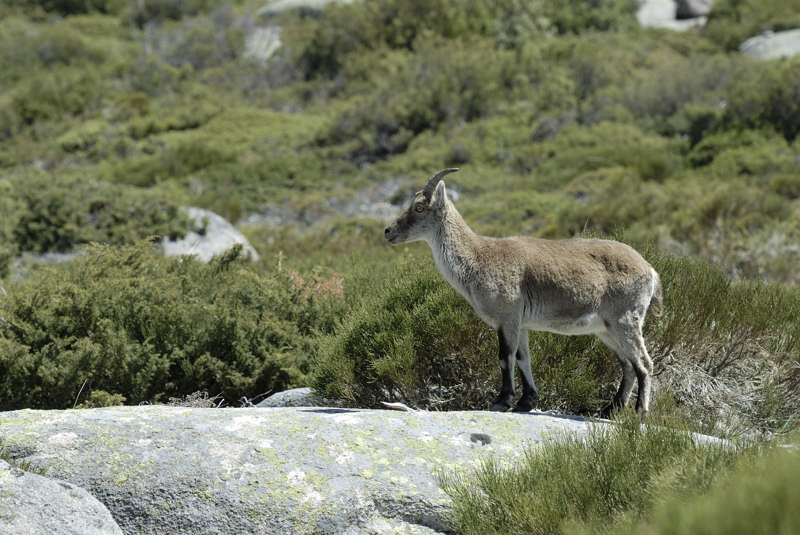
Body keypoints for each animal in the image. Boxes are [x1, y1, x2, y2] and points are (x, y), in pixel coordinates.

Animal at [382, 170, 664, 416]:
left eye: (419, 208)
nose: (388, 231)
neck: (477, 258)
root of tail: (650, 269)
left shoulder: (507, 317)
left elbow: (505, 357)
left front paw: (502, 400)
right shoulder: (522, 323)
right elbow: (522, 358)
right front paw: (525, 401)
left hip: (625, 319)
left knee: (644, 363)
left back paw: (640, 411)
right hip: (606, 329)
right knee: (627, 364)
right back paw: (611, 410)